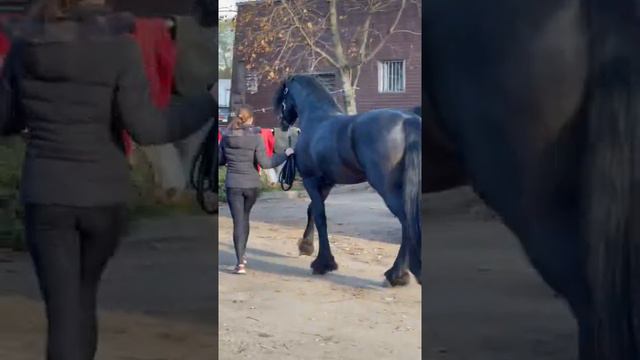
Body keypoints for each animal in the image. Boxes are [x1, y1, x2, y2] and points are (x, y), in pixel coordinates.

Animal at [274, 76, 420, 286]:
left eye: (283, 96)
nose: (282, 122)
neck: (317, 119)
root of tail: (408, 121)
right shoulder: (326, 183)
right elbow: (312, 210)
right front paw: (306, 246)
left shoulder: (311, 180)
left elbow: (320, 216)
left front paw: (323, 263)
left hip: (389, 190)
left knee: (407, 223)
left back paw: (396, 274)